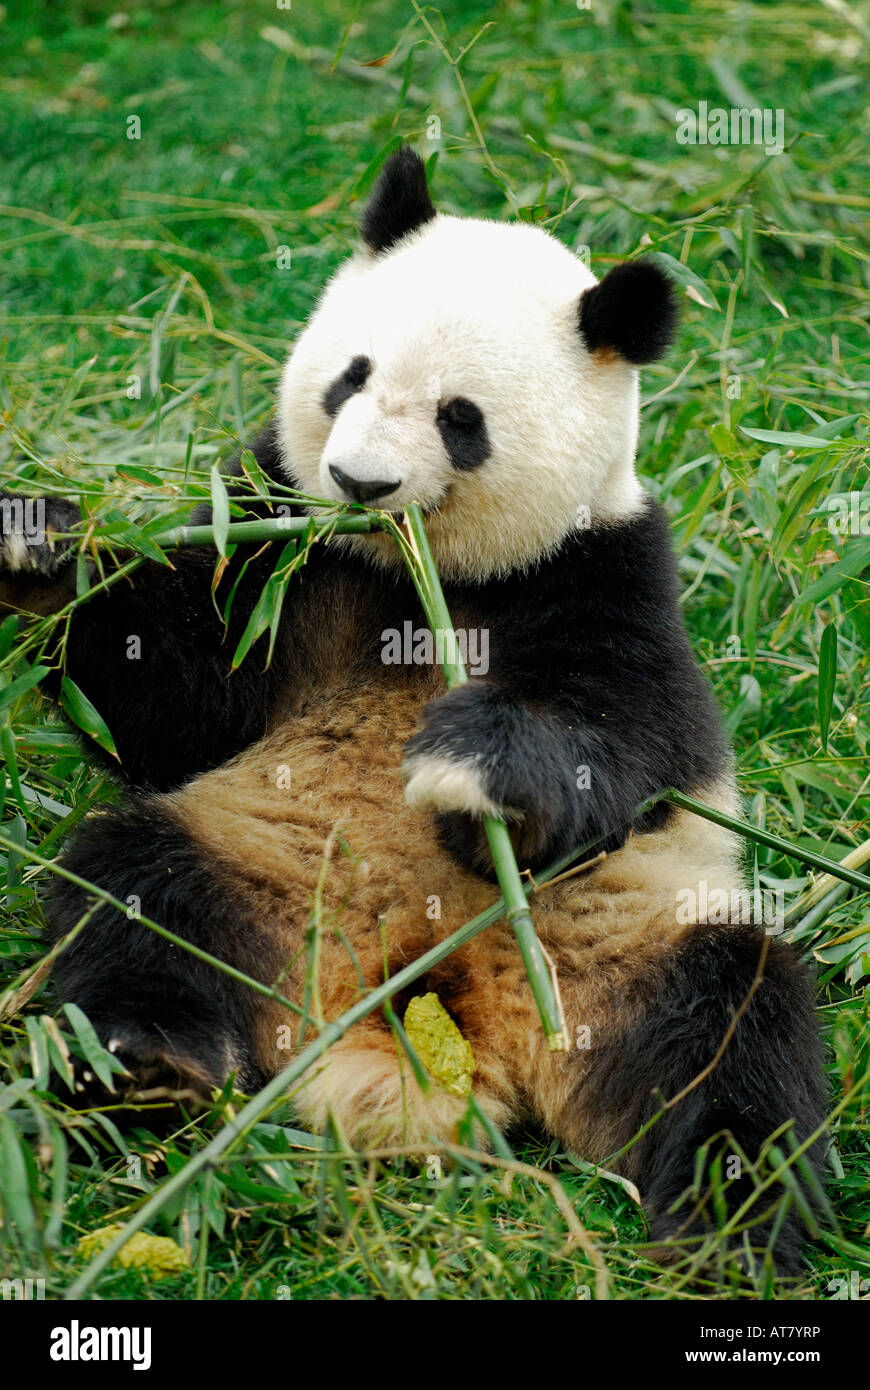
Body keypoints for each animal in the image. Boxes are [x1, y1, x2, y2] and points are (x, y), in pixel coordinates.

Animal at [0, 149, 822, 1273]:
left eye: (459, 419)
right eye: (351, 375)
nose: (357, 480)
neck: (415, 575)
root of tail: (445, 1018)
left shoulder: (609, 571)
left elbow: (629, 740)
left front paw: (473, 769)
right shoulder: (282, 547)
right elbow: (173, 702)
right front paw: (38, 541)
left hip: (626, 948)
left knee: (737, 1028)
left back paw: (730, 1225)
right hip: (259, 869)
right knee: (139, 900)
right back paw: (149, 1068)